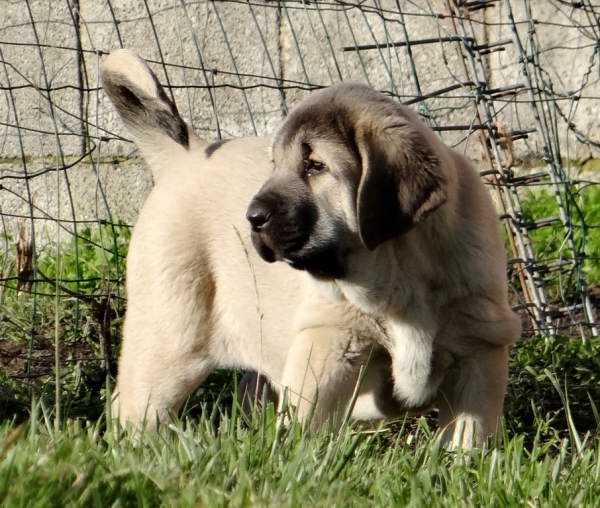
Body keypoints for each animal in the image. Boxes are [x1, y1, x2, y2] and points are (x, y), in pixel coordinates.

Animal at [247, 83, 520, 444]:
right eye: (275, 164)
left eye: (315, 165)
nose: (252, 217)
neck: (401, 277)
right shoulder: (330, 338)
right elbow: (306, 414)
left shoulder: (479, 348)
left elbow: (469, 436)